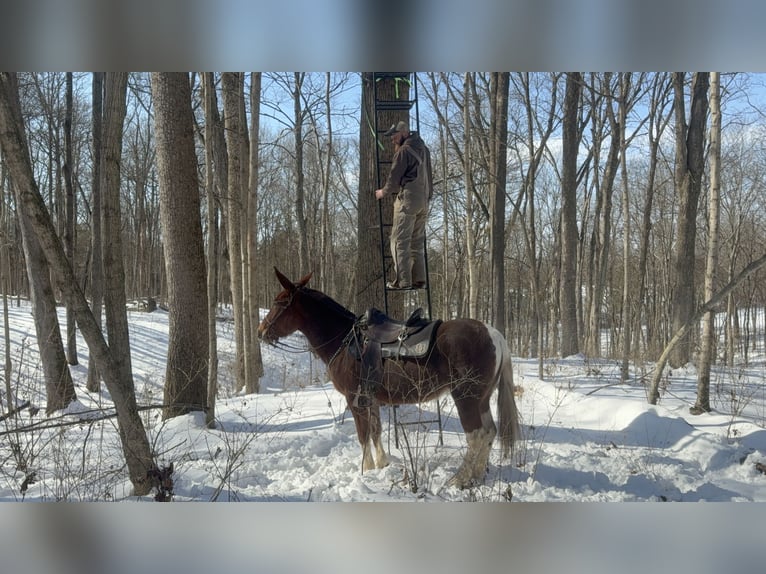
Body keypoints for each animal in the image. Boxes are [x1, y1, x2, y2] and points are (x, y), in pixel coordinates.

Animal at [257, 268, 522, 488]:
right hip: (482, 399)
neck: (344, 340)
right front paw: (382, 464)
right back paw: (476, 476)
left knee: (476, 435)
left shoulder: (355, 400)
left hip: (466, 398)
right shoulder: (371, 399)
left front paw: (365, 470)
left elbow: (363, 435)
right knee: (489, 433)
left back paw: (460, 479)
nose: (261, 331)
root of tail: (493, 333)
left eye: (279, 302)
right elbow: (376, 431)